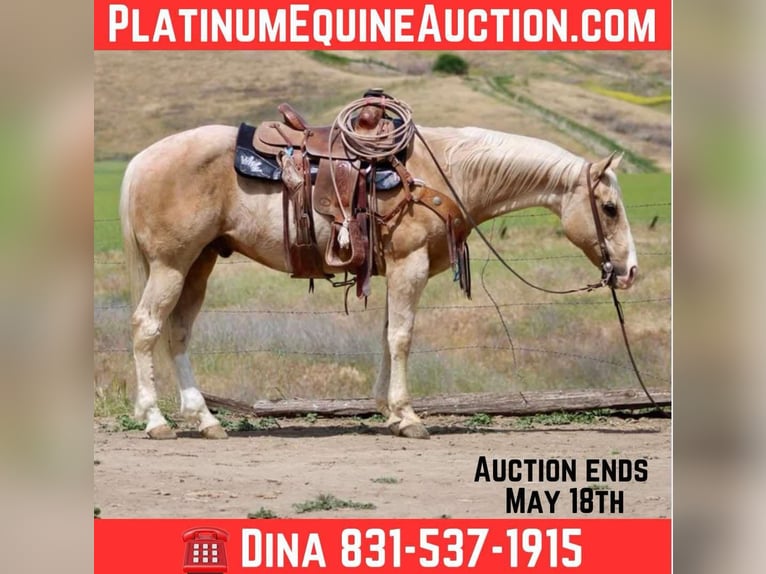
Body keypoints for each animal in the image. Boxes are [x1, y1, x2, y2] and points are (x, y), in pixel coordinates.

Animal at [119, 124, 638, 440]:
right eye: (610, 208)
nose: (630, 270)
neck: (445, 172)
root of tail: (141, 159)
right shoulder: (411, 266)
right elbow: (402, 337)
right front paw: (408, 416)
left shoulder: (395, 272)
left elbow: (388, 335)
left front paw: (387, 411)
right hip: (171, 265)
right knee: (146, 328)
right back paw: (155, 420)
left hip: (198, 264)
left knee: (177, 333)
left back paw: (204, 420)